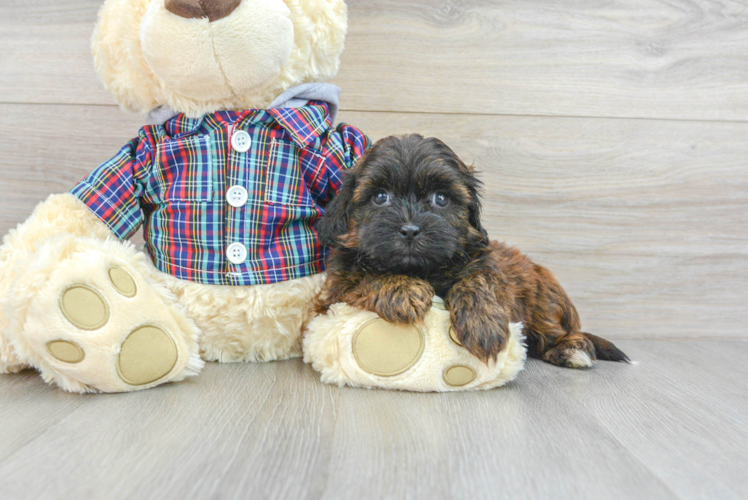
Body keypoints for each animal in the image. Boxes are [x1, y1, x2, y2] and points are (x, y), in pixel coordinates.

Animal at [312, 133, 628, 368]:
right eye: (380, 197)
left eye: (440, 199)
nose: (410, 230)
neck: (421, 268)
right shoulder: (331, 295)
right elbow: (362, 278)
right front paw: (402, 289)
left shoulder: (490, 270)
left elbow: (478, 281)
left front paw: (483, 324)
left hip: (545, 302)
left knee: (561, 332)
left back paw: (571, 350)